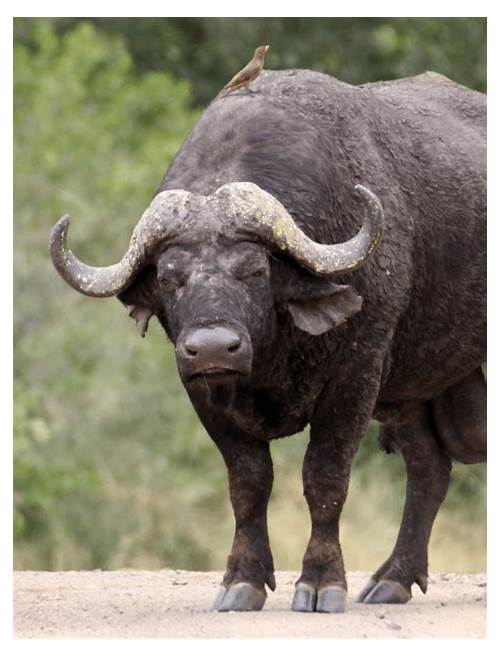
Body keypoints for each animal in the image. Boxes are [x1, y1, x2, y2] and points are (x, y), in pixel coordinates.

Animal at [50, 69, 486, 613]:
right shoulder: (200, 389)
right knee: (429, 468)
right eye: (170, 278)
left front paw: (321, 582)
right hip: (412, 389)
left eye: (255, 270)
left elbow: (324, 477)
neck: (276, 353)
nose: (214, 348)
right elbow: (248, 482)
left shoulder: (357, 374)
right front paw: (242, 580)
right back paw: (393, 579)